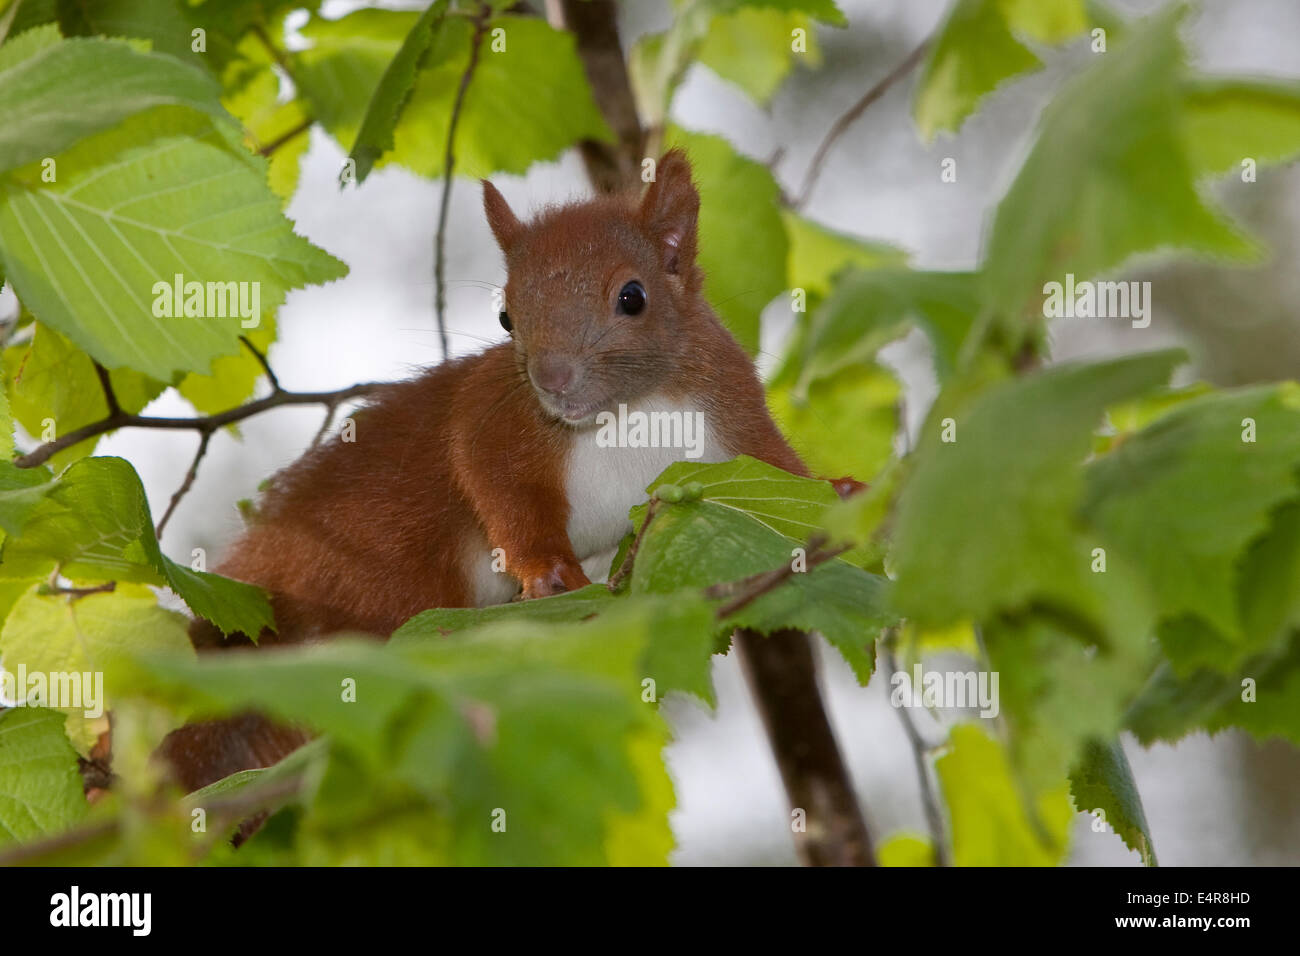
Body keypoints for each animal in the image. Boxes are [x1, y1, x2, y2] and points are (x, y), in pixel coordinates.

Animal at [159, 149, 811, 790]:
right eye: (506, 317)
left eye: (633, 296)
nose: (551, 378)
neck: (632, 411)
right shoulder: (491, 418)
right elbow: (498, 485)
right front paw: (547, 570)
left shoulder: (736, 415)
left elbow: (788, 478)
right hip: (383, 577)